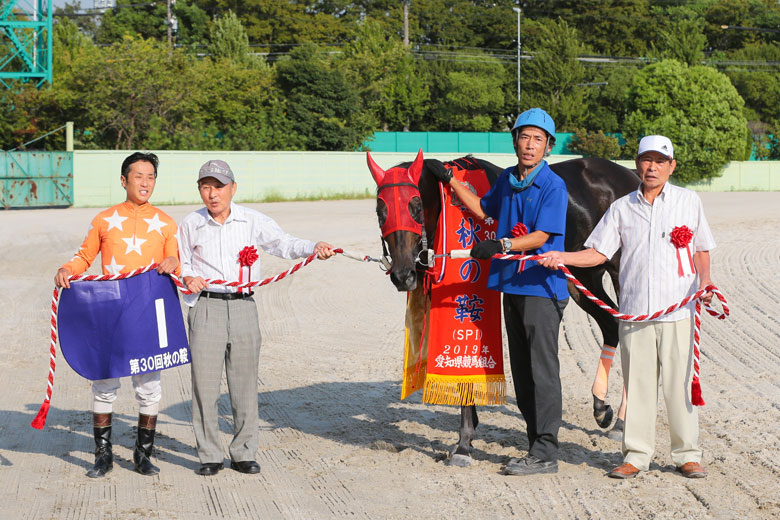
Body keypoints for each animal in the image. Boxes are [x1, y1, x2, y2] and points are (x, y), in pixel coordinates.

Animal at [368, 152, 640, 466]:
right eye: (381, 210)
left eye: (415, 206)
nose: (403, 275)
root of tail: (630, 176)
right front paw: (466, 436)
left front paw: (464, 443)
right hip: (582, 275)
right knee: (610, 325)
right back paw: (602, 408)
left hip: (618, 271)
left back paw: (622, 420)